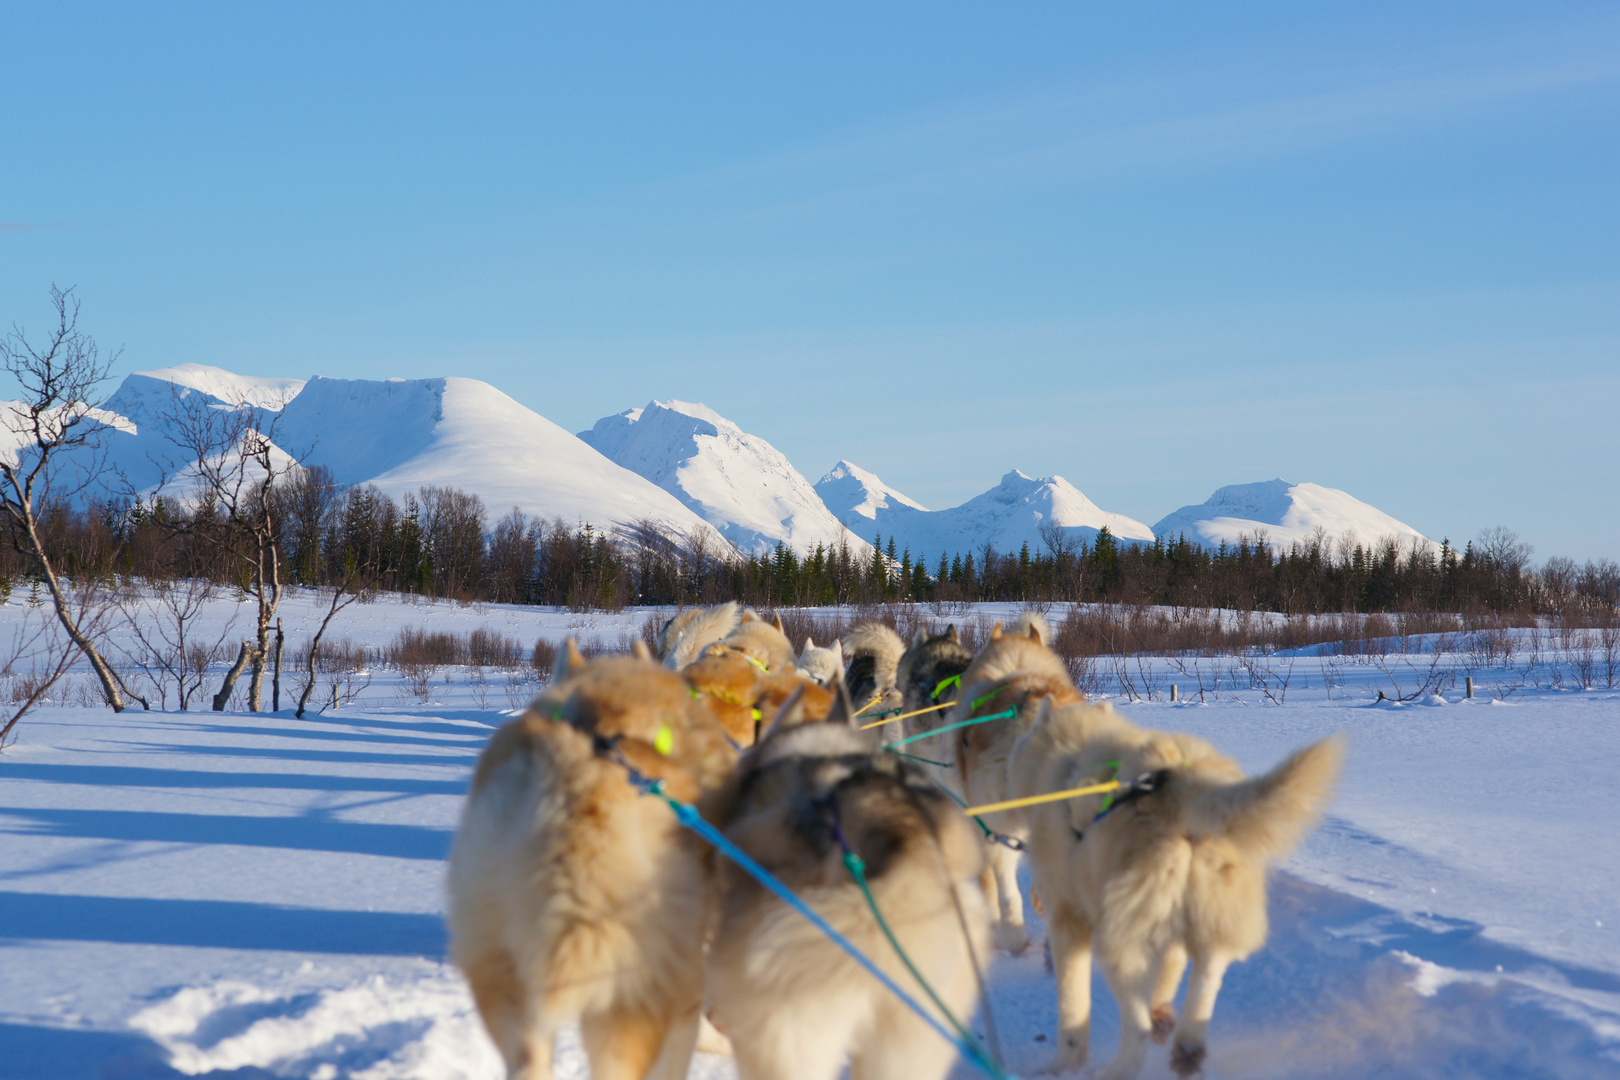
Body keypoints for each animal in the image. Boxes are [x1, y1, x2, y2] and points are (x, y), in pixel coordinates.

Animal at [1010, 702, 1341, 1080]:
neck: (1064, 756)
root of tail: (1180, 783)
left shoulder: (1069, 920)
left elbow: (1072, 1009)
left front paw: (1063, 1065)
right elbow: (1171, 969)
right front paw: (1163, 1013)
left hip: (1118, 944)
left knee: (1137, 1028)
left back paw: (1121, 1068)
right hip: (1211, 912)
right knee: (1209, 969)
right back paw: (1187, 1044)